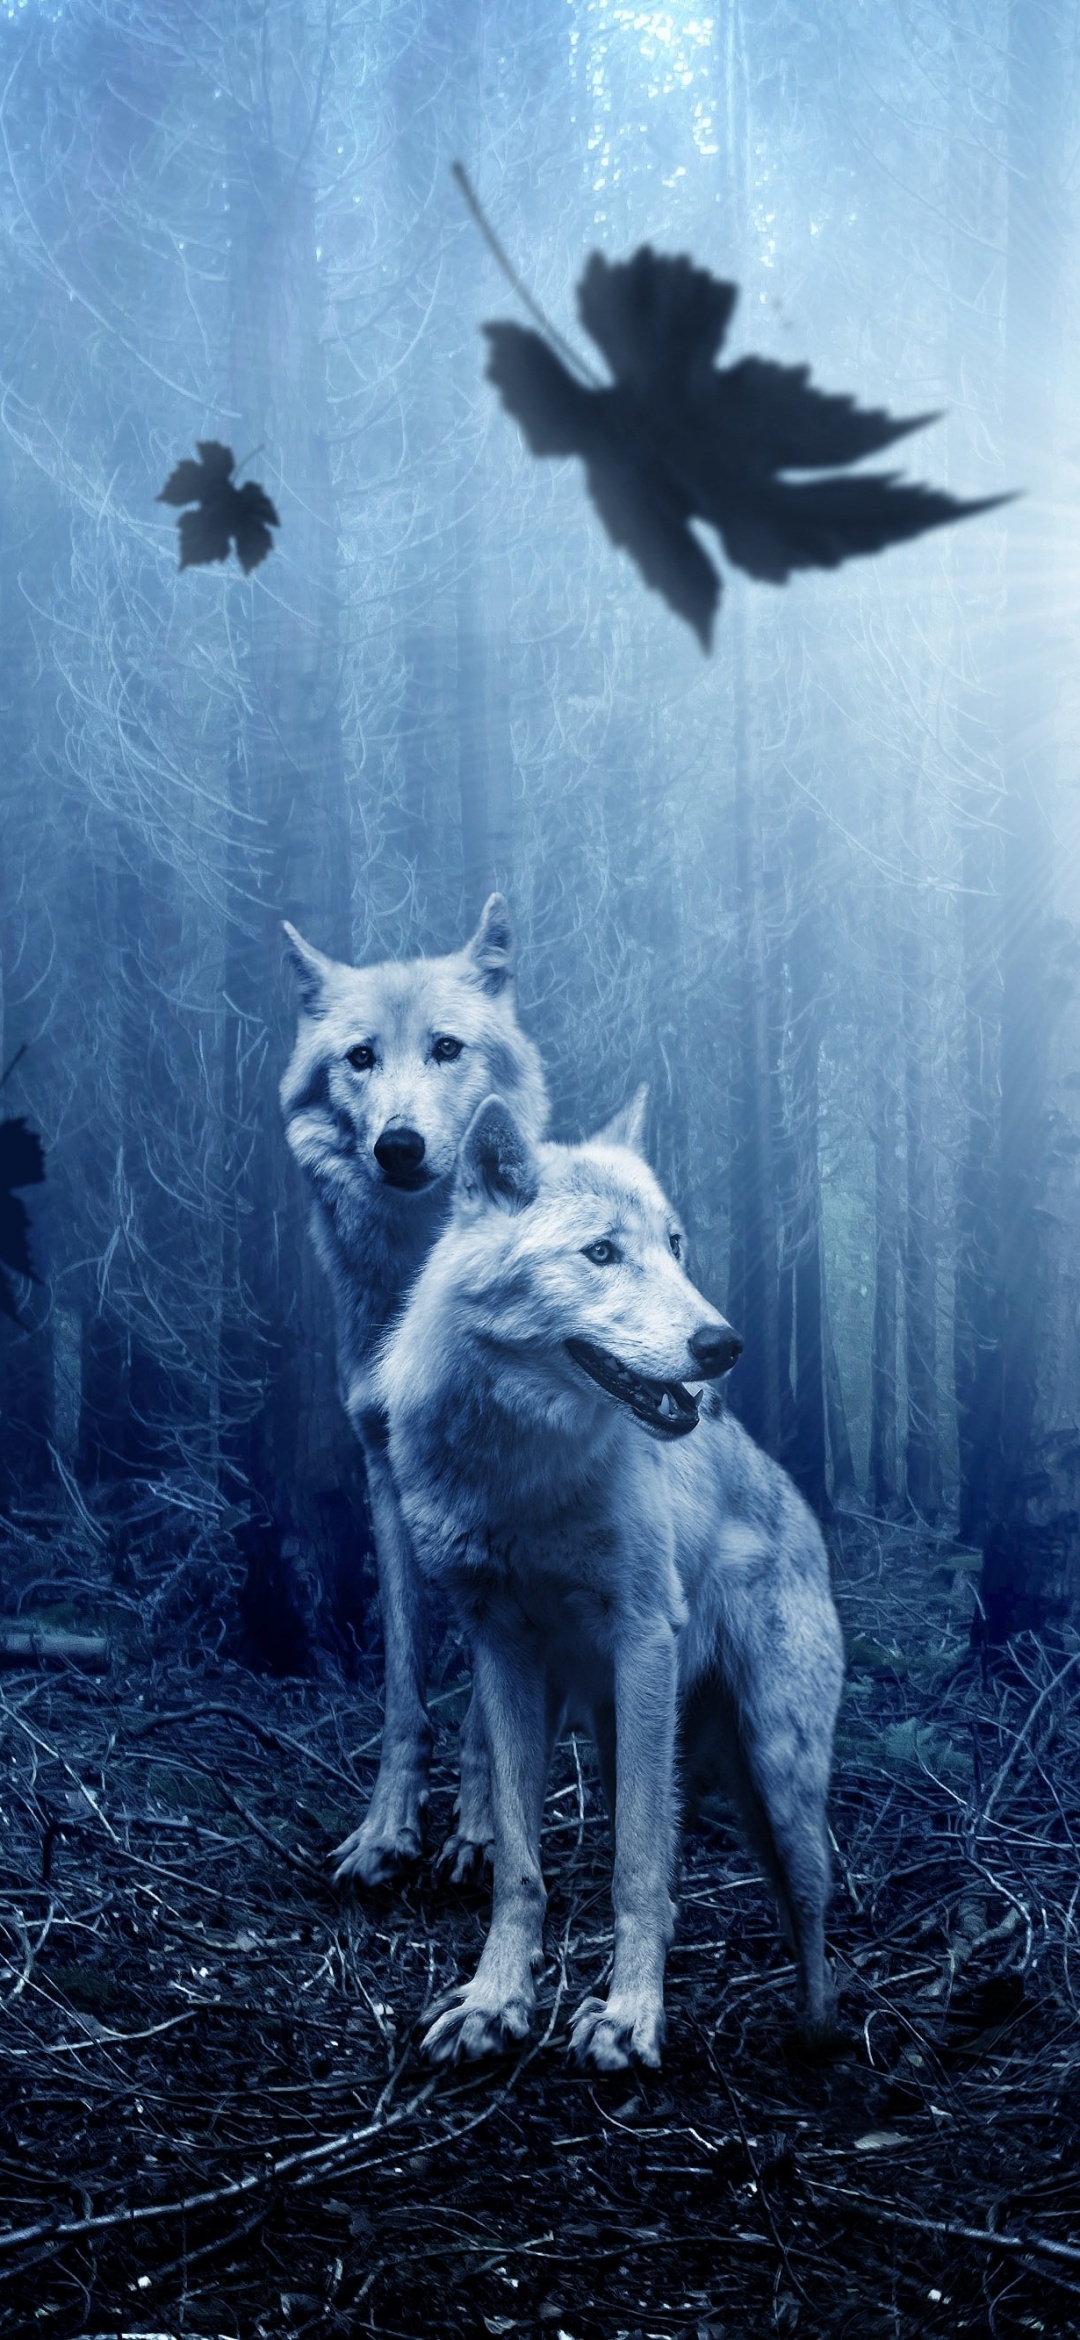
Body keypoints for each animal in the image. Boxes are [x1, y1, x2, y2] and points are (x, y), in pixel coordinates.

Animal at [280, 900, 548, 1884]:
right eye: (361, 1056)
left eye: (445, 1048)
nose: (398, 1145)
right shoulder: (385, 1477)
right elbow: (404, 1686)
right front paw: (386, 1831)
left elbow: (487, 1707)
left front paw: (480, 1833)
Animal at [378, 1092, 844, 2070]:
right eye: (601, 1253)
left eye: (675, 1245)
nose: (724, 1345)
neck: (521, 1475)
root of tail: (798, 1504)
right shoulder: (502, 1649)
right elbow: (519, 1863)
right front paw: (495, 2002)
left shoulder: (642, 1638)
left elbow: (634, 1864)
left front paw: (631, 2020)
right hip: (623, 1732)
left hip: (777, 1768)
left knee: (810, 1906)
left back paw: (817, 2036)